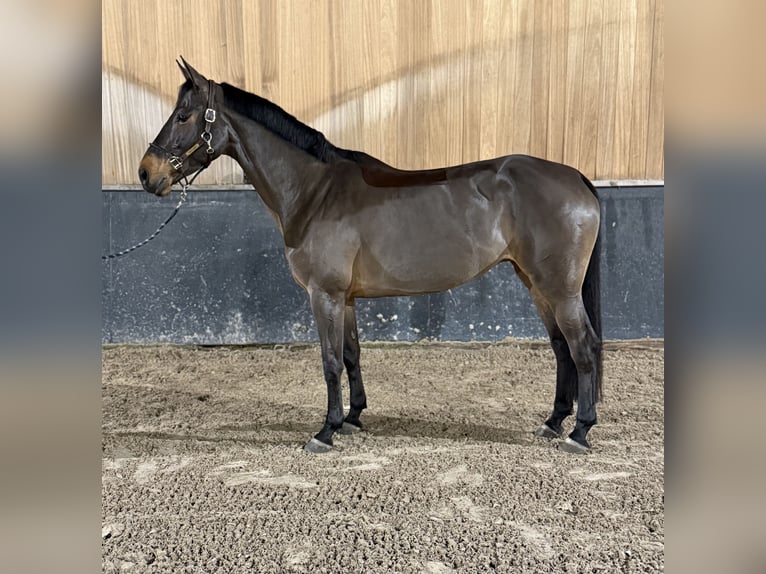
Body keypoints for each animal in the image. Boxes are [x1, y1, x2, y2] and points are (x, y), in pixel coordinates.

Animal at [139, 58, 603, 454]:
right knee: (561, 347)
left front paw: (325, 431)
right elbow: (350, 355)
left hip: (559, 289)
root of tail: (576, 177)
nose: (146, 173)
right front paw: (352, 418)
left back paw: (579, 431)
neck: (315, 192)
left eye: (183, 116)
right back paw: (554, 422)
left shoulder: (323, 294)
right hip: (535, 283)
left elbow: (329, 361)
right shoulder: (344, 298)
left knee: (582, 346)